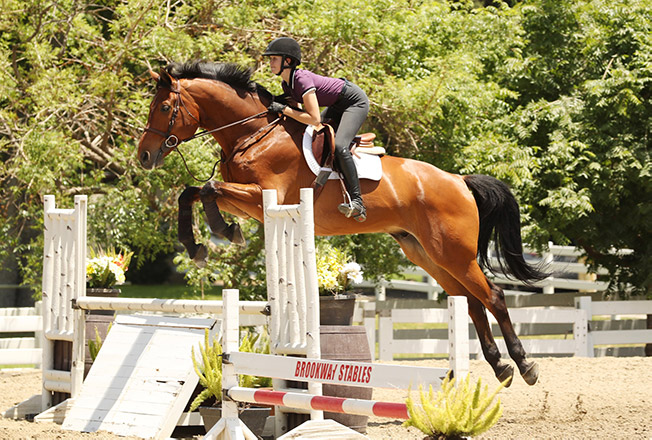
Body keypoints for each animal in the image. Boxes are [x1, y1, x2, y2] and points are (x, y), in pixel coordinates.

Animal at [139, 61, 552, 384]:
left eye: (164, 107)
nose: (144, 156)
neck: (253, 134)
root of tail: (459, 180)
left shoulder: (263, 196)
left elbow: (208, 188)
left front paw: (221, 232)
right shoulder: (249, 202)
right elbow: (191, 192)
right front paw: (197, 244)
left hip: (454, 253)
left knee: (492, 296)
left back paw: (524, 365)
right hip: (426, 254)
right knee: (470, 301)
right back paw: (500, 367)